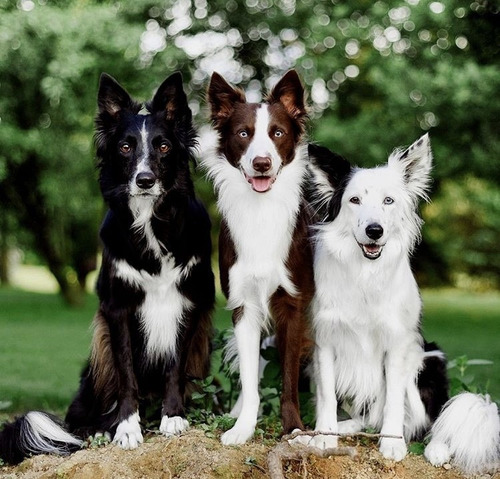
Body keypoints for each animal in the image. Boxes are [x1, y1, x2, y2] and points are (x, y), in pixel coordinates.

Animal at [0, 72, 213, 464]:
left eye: (163, 147)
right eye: (125, 147)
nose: (144, 180)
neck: (150, 222)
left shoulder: (189, 303)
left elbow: (174, 367)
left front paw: (173, 417)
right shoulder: (118, 310)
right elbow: (126, 372)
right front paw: (126, 428)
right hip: (94, 371)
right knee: (82, 414)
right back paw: (100, 426)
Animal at [202, 71, 312, 446]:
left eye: (277, 133)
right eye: (243, 133)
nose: (261, 163)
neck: (261, 210)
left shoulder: (292, 305)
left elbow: (289, 381)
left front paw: (294, 429)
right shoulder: (244, 305)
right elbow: (251, 381)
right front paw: (243, 427)